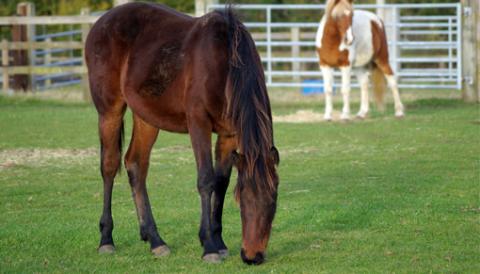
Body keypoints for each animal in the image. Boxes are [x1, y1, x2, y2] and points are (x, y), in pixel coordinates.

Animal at [85, 2, 280, 266]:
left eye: (273, 202)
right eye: (243, 199)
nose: (252, 256)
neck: (225, 63)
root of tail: (100, 23)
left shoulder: (229, 134)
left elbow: (221, 182)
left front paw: (219, 242)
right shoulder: (198, 123)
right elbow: (206, 180)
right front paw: (208, 246)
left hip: (147, 117)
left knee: (136, 164)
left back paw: (155, 240)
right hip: (109, 110)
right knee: (109, 165)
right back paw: (106, 239)